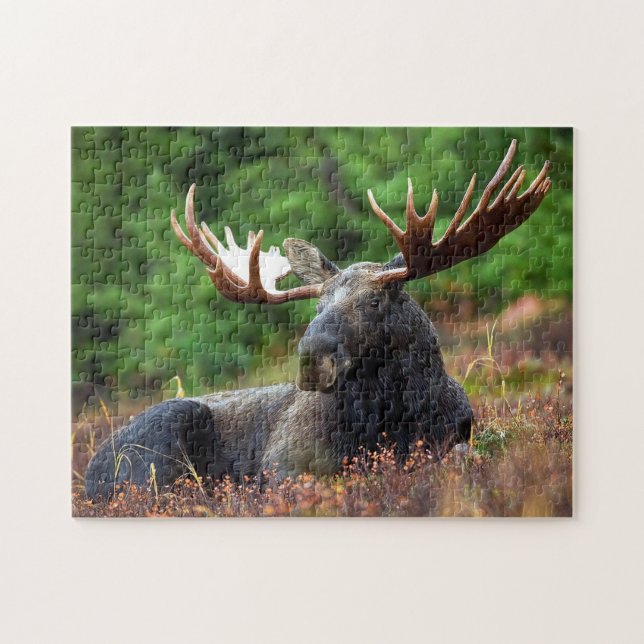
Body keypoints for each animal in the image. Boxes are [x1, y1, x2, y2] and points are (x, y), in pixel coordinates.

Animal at [84, 140, 551, 500]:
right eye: (318, 305)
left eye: (375, 301)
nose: (311, 360)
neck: (397, 415)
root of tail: (88, 473)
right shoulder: (282, 465)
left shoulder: (456, 437)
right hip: (165, 436)